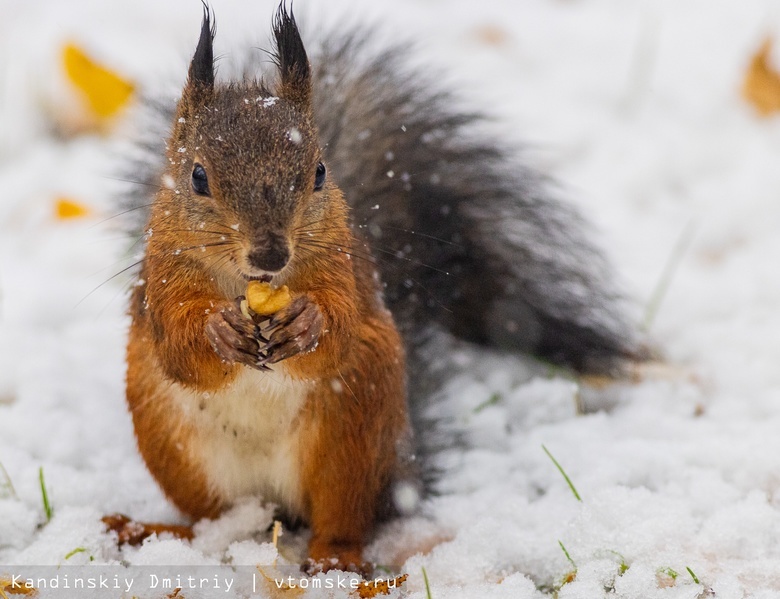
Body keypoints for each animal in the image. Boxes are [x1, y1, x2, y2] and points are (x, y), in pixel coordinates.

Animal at [123, 2, 644, 576]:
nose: (271, 254)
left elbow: (341, 329)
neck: (250, 284)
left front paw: (308, 323)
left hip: (350, 434)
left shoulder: (345, 268)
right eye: (197, 177)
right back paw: (172, 535)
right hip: (179, 453)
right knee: (216, 519)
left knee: (345, 516)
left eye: (320, 172)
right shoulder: (160, 280)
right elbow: (177, 348)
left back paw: (335, 558)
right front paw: (218, 329)